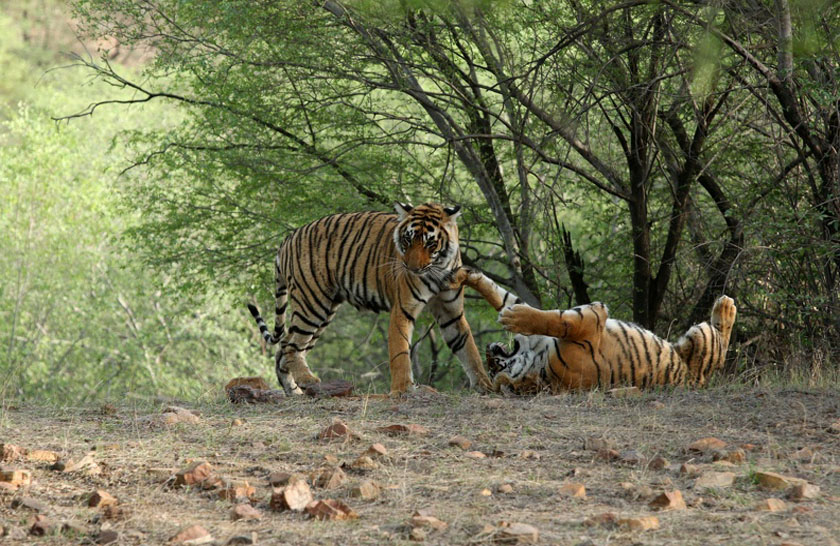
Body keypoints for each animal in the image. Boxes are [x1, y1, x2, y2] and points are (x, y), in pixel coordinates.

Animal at [247, 203, 493, 395]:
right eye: (408, 240)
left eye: (430, 243)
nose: (411, 269)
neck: (438, 268)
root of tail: (287, 238)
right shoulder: (402, 308)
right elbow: (400, 351)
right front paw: (403, 389)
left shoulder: (451, 310)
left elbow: (468, 348)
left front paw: (485, 385)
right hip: (312, 303)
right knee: (290, 346)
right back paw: (308, 381)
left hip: (324, 311)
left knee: (284, 350)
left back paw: (295, 391)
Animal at [453, 268, 737, 392]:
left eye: (493, 365)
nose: (488, 351)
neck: (537, 362)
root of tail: (695, 379)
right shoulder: (591, 319)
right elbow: (556, 320)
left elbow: (506, 299)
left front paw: (466, 275)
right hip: (700, 336)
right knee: (721, 340)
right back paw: (726, 306)